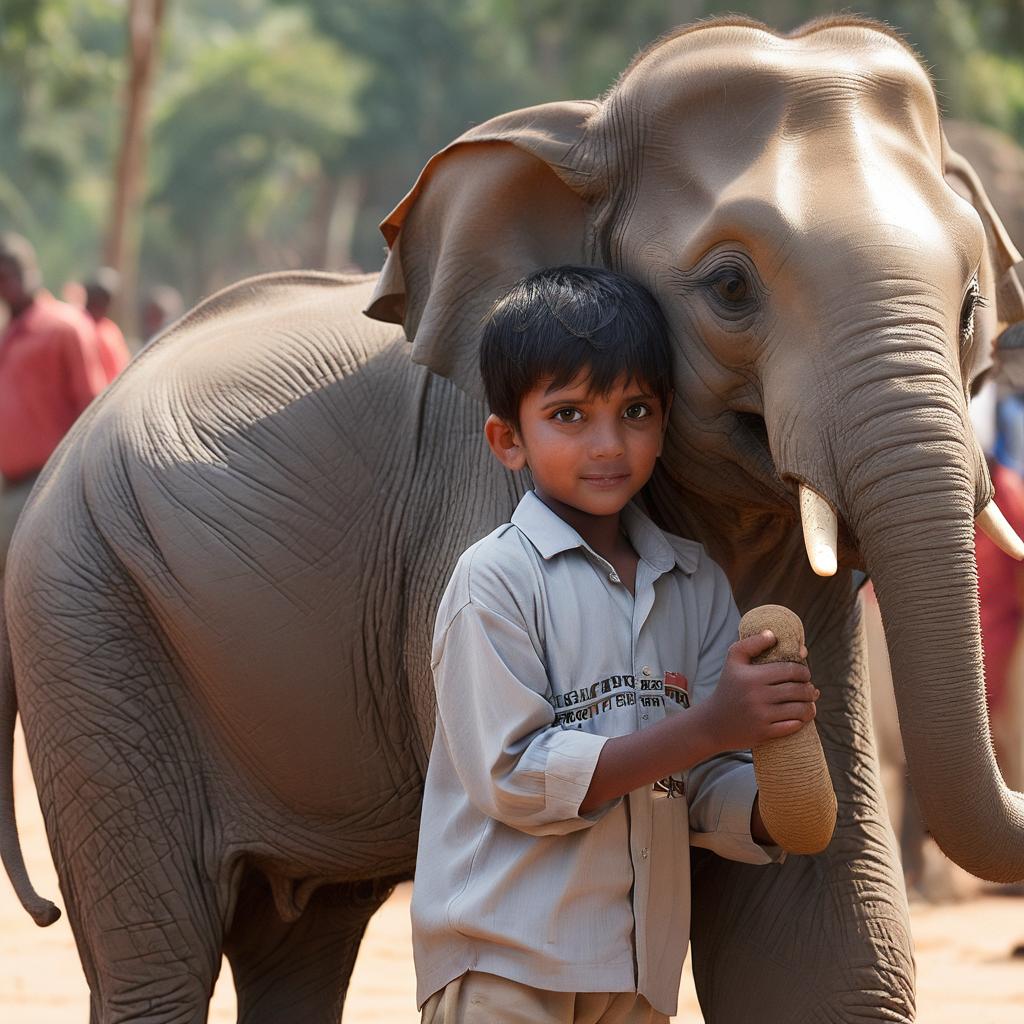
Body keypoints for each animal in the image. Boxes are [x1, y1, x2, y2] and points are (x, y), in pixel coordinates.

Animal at [2, 14, 1024, 1024]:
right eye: (732, 287)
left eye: (973, 301)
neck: (584, 134)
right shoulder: (462, 523)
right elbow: (531, 761)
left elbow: (816, 948)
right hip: (88, 626)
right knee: (160, 956)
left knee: (303, 935)